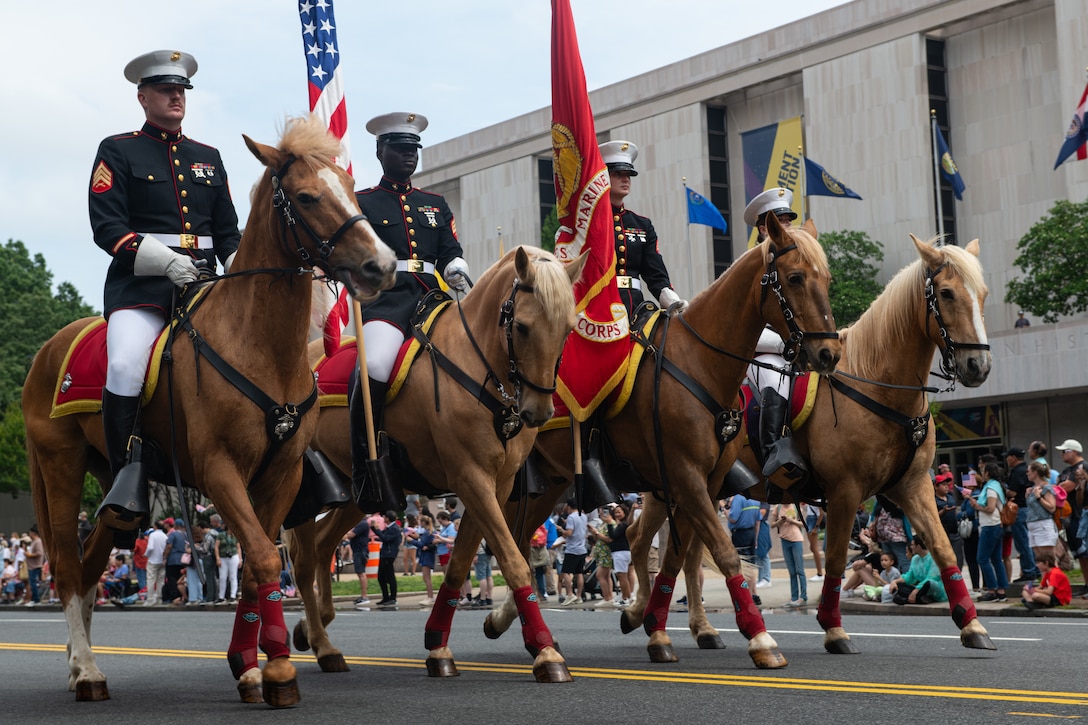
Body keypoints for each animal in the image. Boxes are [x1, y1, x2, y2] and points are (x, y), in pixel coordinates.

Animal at [23, 115, 398, 701]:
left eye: (352, 189)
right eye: (307, 197)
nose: (380, 265)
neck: (262, 346)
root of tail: (48, 352)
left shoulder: (281, 474)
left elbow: (256, 566)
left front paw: (251, 665)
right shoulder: (219, 470)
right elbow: (263, 558)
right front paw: (279, 669)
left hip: (114, 483)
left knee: (88, 569)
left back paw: (77, 663)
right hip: (61, 467)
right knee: (64, 566)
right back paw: (87, 670)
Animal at [285, 246, 583, 679]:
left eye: (567, 330)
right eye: (523, 327)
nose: (538, 412)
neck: (480, 367)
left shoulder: (496, 484)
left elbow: (460, 563)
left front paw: (438, 645)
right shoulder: (470, 476)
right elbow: (513, 560)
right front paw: (546, 652)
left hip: (358, 491)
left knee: (322, 547)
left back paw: (314, 628)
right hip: (301, 487)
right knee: (302, 557)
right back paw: (317, 644)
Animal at [478, 213, 839, 666]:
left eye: (826, 278)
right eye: (794, 277)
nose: (828, 354)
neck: (701, 364)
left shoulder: (704, 481)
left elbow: (678, 556)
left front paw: (656, 626)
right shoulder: (685, 475)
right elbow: (719, 550)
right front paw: (759, 638)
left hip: (555, 480)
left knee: (530, 540)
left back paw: (515, 622)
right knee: (511, 537)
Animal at [626, 234, 996, 657]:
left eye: (982, 294)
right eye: (947, 293)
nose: (978, 366)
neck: (878, 385)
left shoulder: (913, 486)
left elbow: (944, 549)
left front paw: (971, 625)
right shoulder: (845, 490)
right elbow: (835, 560)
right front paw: (834, 628)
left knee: (683, 555)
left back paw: (698, 628)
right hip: (672, 485)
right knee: (639, 539)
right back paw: (640, 614)